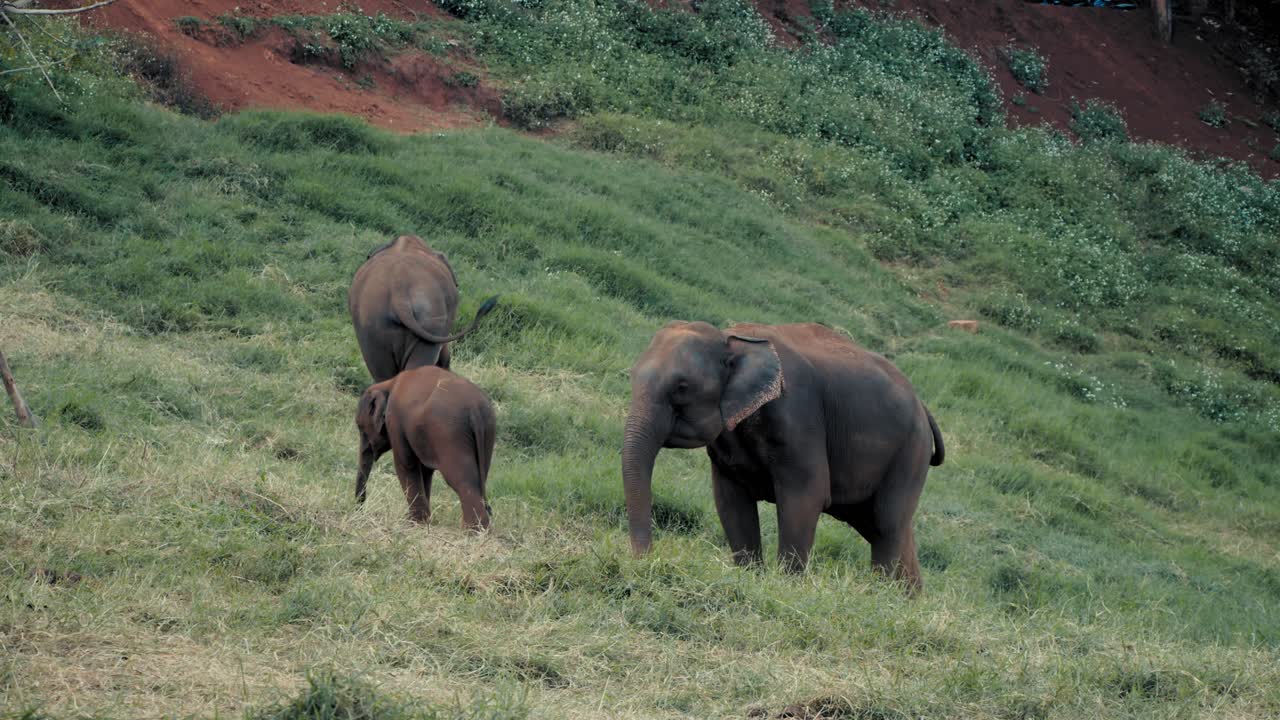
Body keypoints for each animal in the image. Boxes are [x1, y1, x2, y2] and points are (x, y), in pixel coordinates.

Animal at [355, 365, 497, 530]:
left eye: (360, 427)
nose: (359, 510)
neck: (389, 384)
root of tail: (474, 409)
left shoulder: (395, 421)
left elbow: (406, 464)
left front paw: (413, 523)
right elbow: (425, 471)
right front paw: (424, 521)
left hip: (449, 433)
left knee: (462, 480)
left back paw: (473, 530)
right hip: (488, 431)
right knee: (480, 478)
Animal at [621, 321, 944, 591]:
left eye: (682, 387)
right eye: (632, 376)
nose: (647, 560)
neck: (732, 337)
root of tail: (924, 408)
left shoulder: (798, 416)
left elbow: (806, 496)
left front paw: (786, 586)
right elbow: (730, 499)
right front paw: (749, 575)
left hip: (910, 454)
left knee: (886, 524)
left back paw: (880, 594)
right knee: (888, 529)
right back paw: (907, 599)